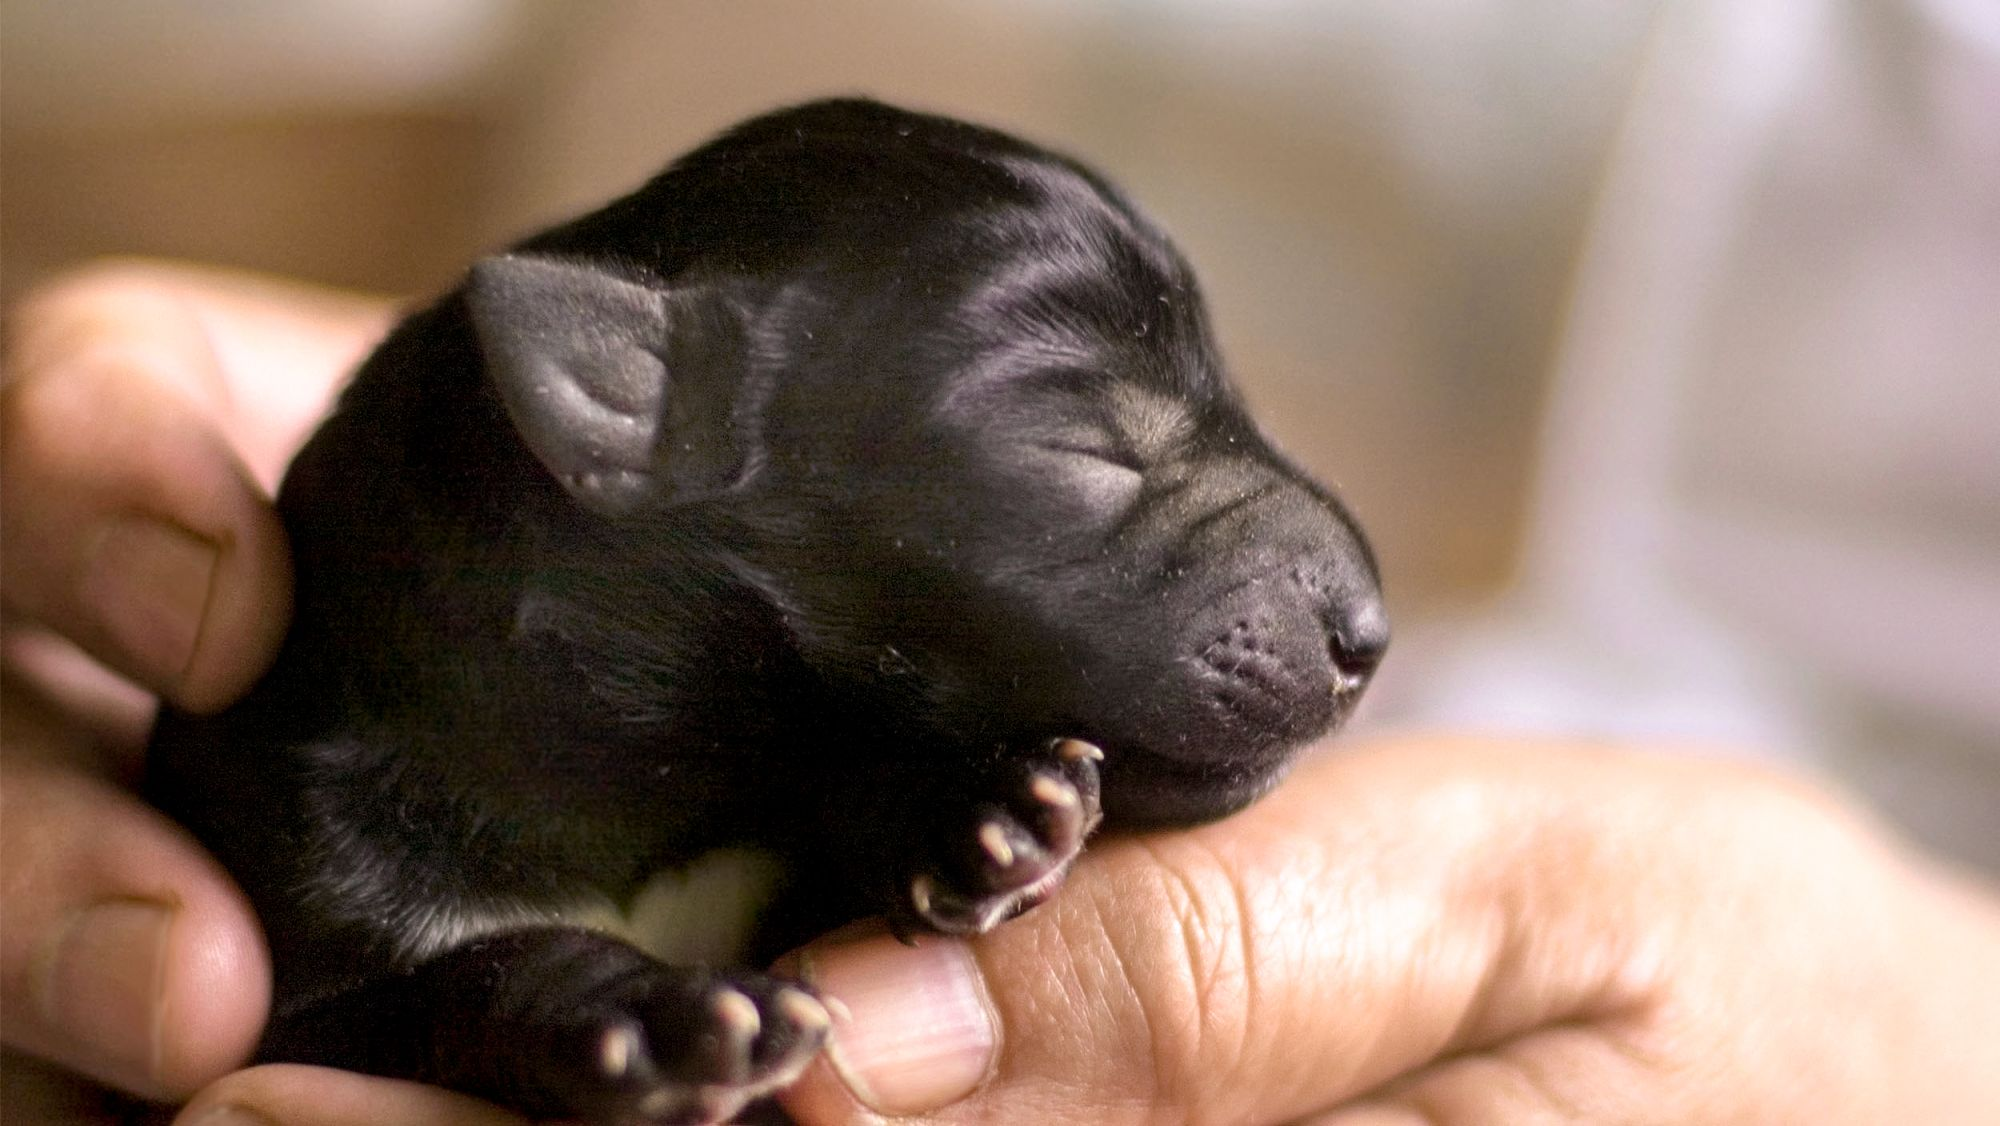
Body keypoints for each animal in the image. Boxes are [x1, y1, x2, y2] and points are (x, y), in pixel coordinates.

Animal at [145, 99, 1392, 1126]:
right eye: (1083, 447)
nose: (1368, 632)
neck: (683, 772)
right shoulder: (317, 887)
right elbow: (451, 981)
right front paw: (640, 1020)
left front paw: (971, 808)